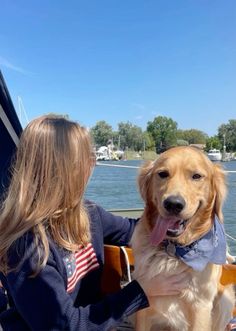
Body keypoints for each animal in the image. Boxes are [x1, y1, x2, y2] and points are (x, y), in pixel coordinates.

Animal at [132, 147, 235, 331]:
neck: (173, 250)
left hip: (226, 298)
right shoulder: (144, 304)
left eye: (196, 176)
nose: (173, 204)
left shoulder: (200, 305)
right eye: (163, 174)